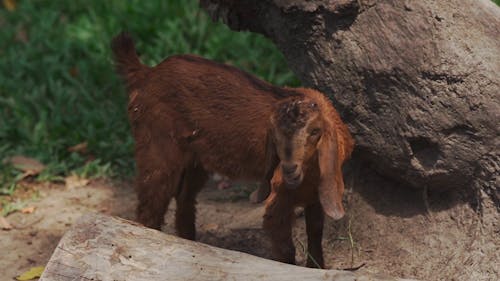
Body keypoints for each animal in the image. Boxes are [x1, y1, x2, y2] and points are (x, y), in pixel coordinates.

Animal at [112, 31, 356, 266]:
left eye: (315, 131)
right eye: (274, 135)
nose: (289, 169)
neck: (308, 176)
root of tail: (147, 73)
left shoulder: (317, 194)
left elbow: (315, 234)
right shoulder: (278, 199)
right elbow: (285, 248)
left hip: (196, 159)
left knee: (184, 201)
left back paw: (191, 245)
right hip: (156, 145)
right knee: (150, 205)